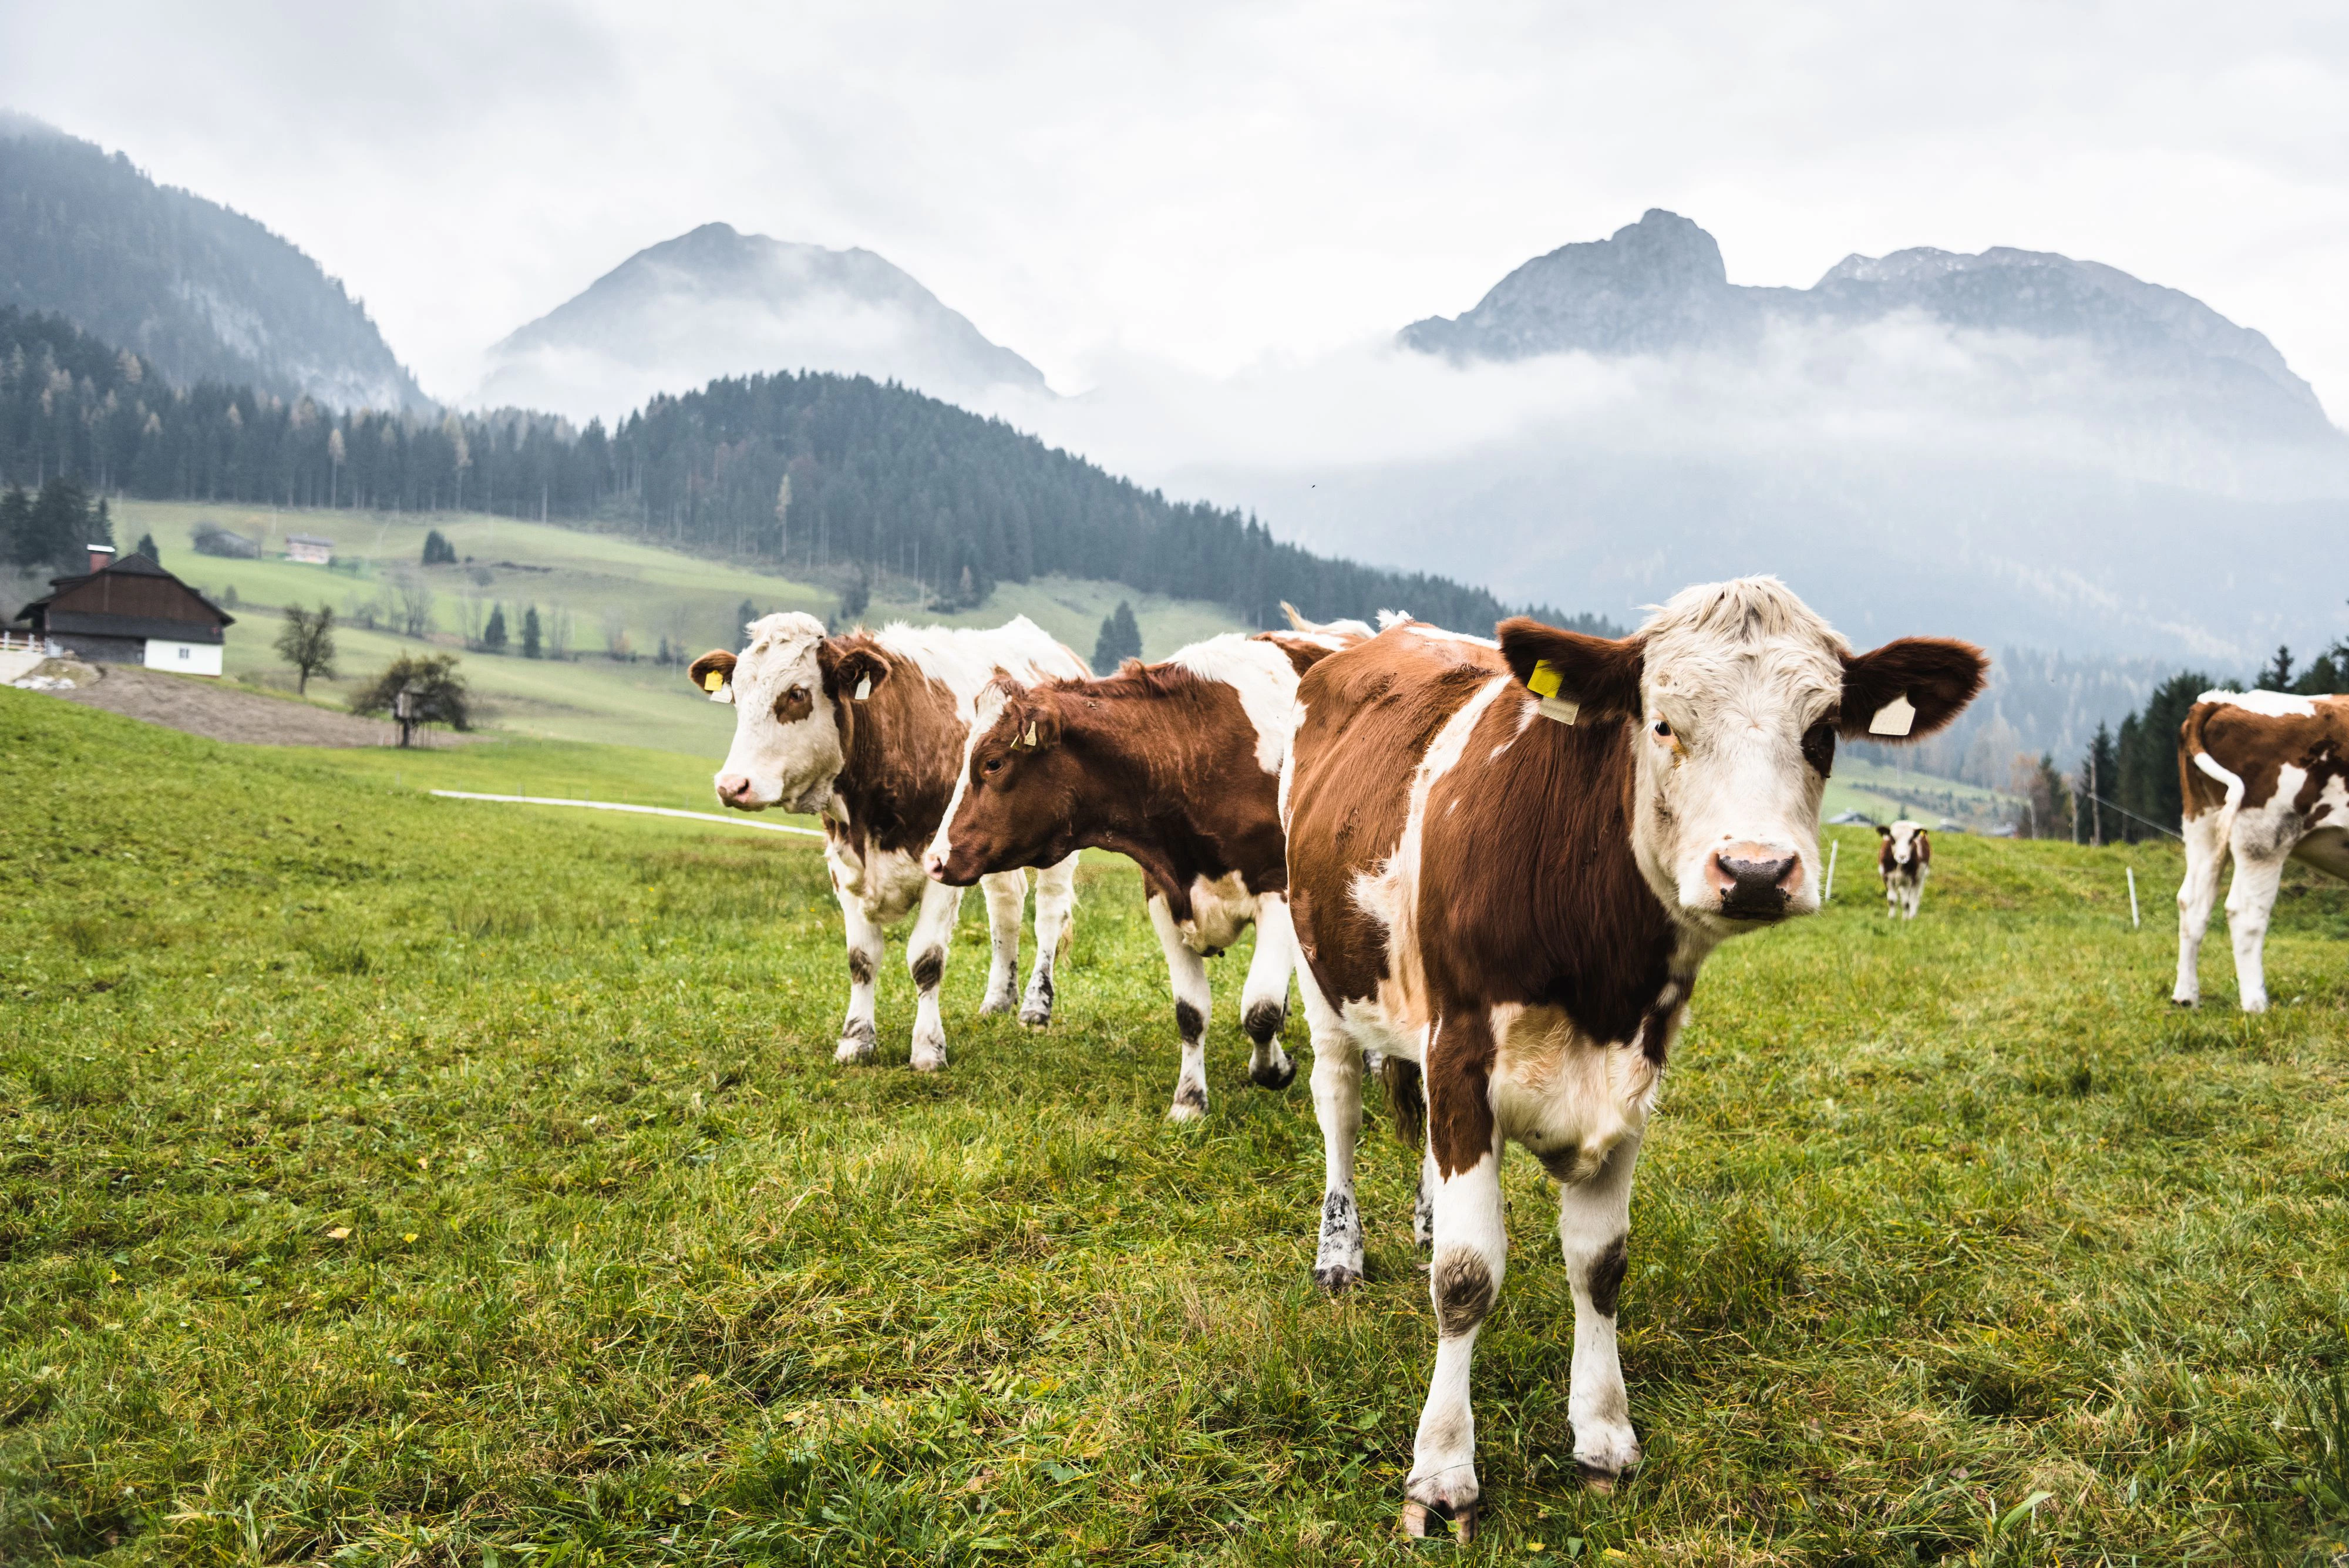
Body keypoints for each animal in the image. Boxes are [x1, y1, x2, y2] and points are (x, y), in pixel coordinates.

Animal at [687, 612, 1089, 1071]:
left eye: (796, 694)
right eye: (738, 696)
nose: (732, 785)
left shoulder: (939, 866)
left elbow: (927, 959)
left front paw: (928, 1049)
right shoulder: (844, 865)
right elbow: (861, 960)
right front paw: (856, 1040)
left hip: (1058, 848)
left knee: (1048, 914)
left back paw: (1036, 1008)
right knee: (1006, 906)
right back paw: (998, 1000)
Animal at [923, 610, 1372, 1119]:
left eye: (993, 763)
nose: (935, 860)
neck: (1194, 754)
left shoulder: (1277, 892)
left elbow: (1259, 1009)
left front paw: (1273, 1069)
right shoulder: (1162, 893)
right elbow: (1191, 1013)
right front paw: (1189, 1102)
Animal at [1877, 819, 1931, 918]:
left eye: (1911, 840)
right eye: (1893, 839)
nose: (1902, 857)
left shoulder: (1910, 879)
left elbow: (1906, 903)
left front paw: (1905, 919)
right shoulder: (1887, 878)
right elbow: (1892, 900)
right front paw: (1892, 917)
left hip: (1920, 877)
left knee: (1915, 896)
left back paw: (1912, 916)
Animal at [2172, 689, 2349, 1013]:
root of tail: (2222, 701)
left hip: (2203, 824)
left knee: (2192, 902)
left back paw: (2186, 997)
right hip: (2264, 837)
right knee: (2245, 912)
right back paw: (2256, 1004)